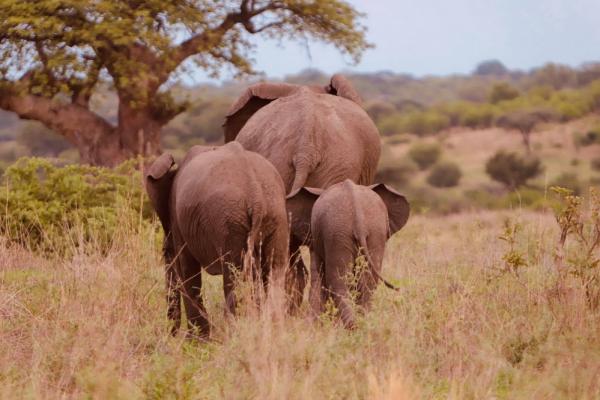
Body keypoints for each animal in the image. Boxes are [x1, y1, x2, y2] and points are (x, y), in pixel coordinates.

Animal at [143, 142, 288, 340]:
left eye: (166, 252)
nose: (171, 335)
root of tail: (256, 194)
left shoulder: (179, 223)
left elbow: (186, 270)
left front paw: (195, 341)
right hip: (275, 217)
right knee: (275, 272)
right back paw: (273, 334)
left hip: (229, 224)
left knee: (234, 276)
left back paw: (233, 336)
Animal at [284, 180, 408, 326]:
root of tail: (358, 217)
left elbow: (317, 273)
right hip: (369, 231)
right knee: (367, 280)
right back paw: (362, 322)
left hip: (337, 232)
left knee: (339, 279)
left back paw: (352, 325)